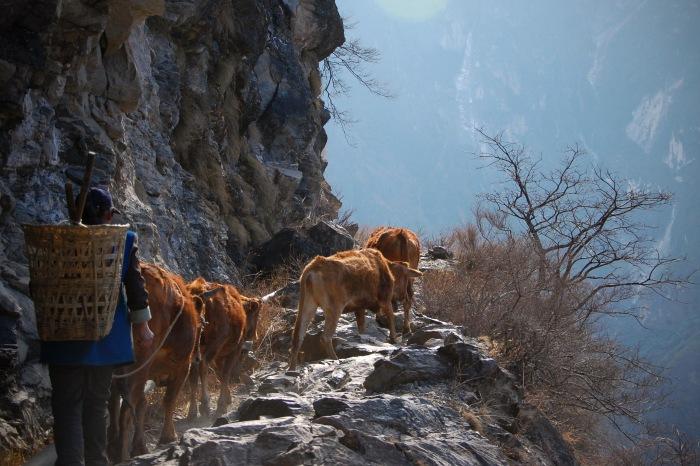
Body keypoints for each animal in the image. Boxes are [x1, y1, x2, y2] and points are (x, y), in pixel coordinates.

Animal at [108, 264, 202, 460]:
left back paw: (112, 448)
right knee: (126, 408)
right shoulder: (182, 367)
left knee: (114, 402)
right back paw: (121, 453)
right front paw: (168, 436)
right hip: (138, 365)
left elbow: (142, 404)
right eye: (200, 326)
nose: (197, 357)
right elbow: (169, 400)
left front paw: (140, 447)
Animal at [186, 278, 262, 416]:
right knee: (203, 365)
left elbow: (219, 374)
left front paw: (227, 397)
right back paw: (205, 404)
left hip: (195, 345)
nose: (255, 335)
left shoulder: (218, 355)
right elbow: (225, 373)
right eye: (256, 315)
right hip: (214, 342)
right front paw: (223, 402)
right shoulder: (234, 349)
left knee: (193, 370)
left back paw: (193, 410)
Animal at [288, 249, 422, 370]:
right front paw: (394, 338)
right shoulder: (385, 298)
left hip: (307, 302)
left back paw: (292, 368)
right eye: (406, 277)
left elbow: (362, 328)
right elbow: (391, 318)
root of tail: (310, 272)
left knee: (298, 336)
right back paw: (335, 359)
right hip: (334, 306)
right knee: (325, 337)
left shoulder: (359, 307)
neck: (390, 269)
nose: (406, 296)